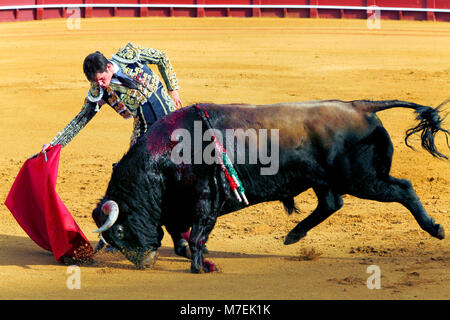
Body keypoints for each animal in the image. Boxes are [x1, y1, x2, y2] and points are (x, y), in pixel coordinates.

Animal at [90, 100, 446, 272]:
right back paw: (293, 235)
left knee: (403, 189)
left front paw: (200, 266)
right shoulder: (177, 207)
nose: (144, 263)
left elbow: (197, 233)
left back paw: (436, 229)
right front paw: (189, 256)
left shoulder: (205, 199)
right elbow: (180, 232)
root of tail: (360, 106)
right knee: (332, 203)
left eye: (119, 231)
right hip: (324, 179)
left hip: (362, 179)